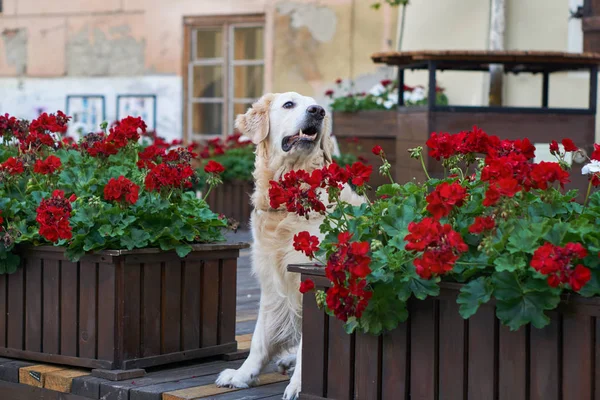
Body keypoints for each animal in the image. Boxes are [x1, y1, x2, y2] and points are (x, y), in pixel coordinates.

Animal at [218, 93, 364, 400]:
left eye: (319, 107)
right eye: (289, 104)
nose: (318, 111)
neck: (291, 203)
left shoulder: (310, 279)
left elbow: (309, 343)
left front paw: (298, 386)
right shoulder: (271, 280)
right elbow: (260, 337)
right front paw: (242, 375)